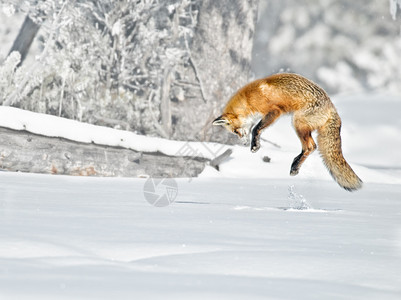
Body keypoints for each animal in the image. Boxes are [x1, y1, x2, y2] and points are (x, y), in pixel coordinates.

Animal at [212, 72, 362, 192]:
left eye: (235, 131)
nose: (243, 144)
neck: (248, 100)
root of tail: (332, 108)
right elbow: (257, 129)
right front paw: (255, 144)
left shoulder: (274, 111)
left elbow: (256, 128)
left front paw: (255, 146)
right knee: (311, 147)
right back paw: (295, 164)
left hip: (297, 122)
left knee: (311, 146)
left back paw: (295, 166)